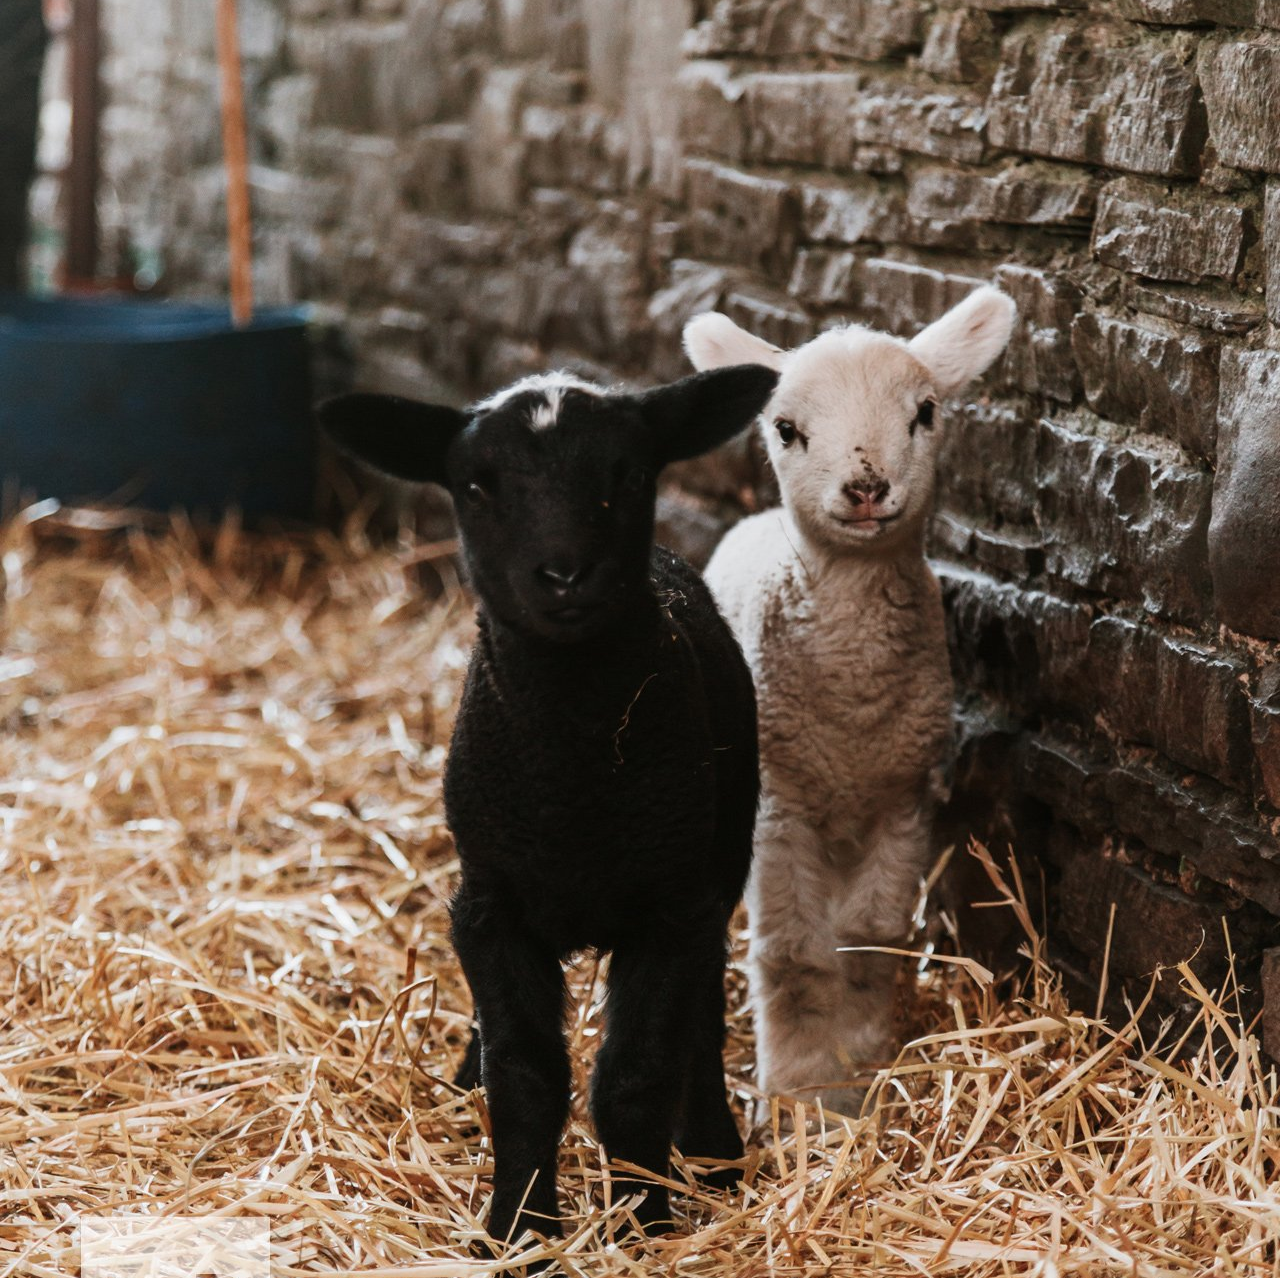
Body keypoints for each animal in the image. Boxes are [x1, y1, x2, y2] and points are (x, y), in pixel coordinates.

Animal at [318, 363, 778, 1245]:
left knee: (702, 1016)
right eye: (474, 485)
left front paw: (644, 1219)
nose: (564, 575)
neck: (573, 784)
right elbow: (526, 1075)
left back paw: (712, 1148)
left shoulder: (673, 907)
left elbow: (635, 1075)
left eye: (627, 475)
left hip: (722, 853)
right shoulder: (492, 906)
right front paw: (519, 1228)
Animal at [682, 287, 1016, 1115]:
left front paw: (858, 1072)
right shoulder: (780, 805)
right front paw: (799, 1093)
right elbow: (793, 952)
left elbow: (869, 936)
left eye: (925, 412)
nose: (867, 486)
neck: (853, 698)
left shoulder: (904, 797)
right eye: (785, 428)